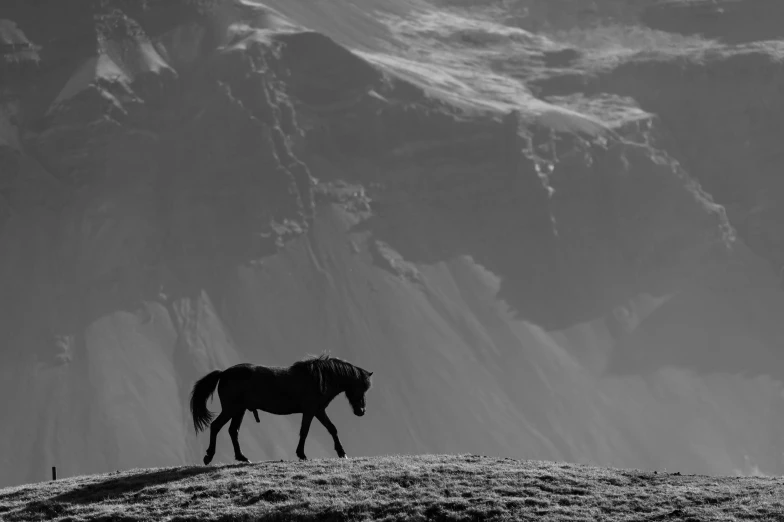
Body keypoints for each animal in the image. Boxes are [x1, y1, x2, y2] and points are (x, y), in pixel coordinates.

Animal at [189, 354, 374, 464]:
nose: (361, 411)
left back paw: (242, 457)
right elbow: (305, 431)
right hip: (231, 409)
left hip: (239, 410)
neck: (320, 379)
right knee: (216, 426)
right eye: (361, 387)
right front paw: (302, 454)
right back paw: (209, 456)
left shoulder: (318, 411)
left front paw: (341, 453)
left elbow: (332, 429)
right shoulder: (311, 411)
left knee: (233, 431)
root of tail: (223, 373)